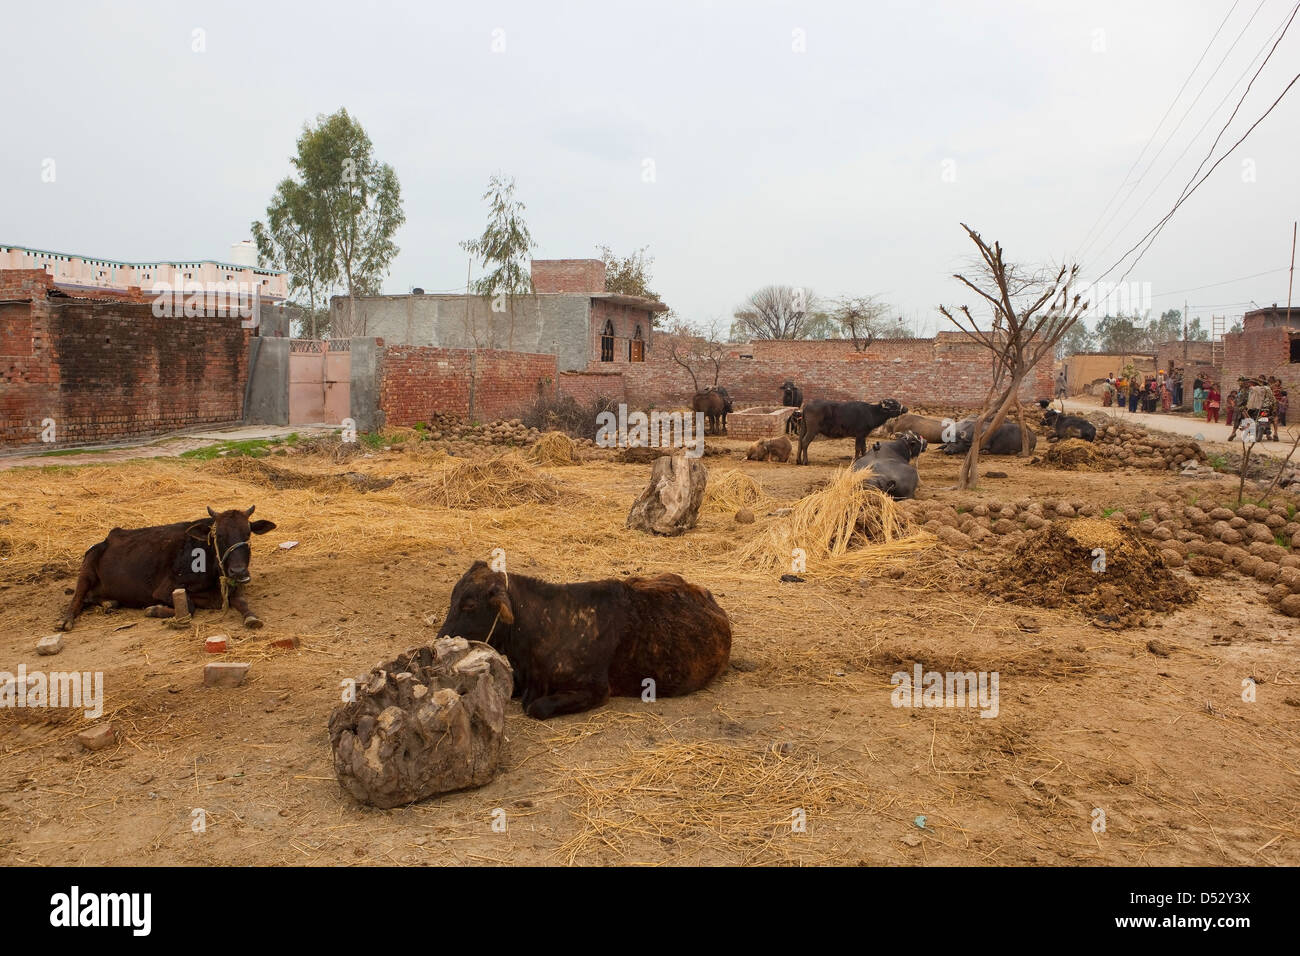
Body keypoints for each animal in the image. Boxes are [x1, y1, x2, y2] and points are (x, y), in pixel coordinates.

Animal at [59, 504, 278, 632]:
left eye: (247, 534)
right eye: (219, 536)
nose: (238, 571)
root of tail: (107, 538)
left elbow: (241, 602)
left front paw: (251, 617)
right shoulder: (165, 589)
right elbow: (189, 607)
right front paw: (154, 609)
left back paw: (109, 603)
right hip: (87, 569)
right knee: (78, 597)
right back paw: (66, 620)